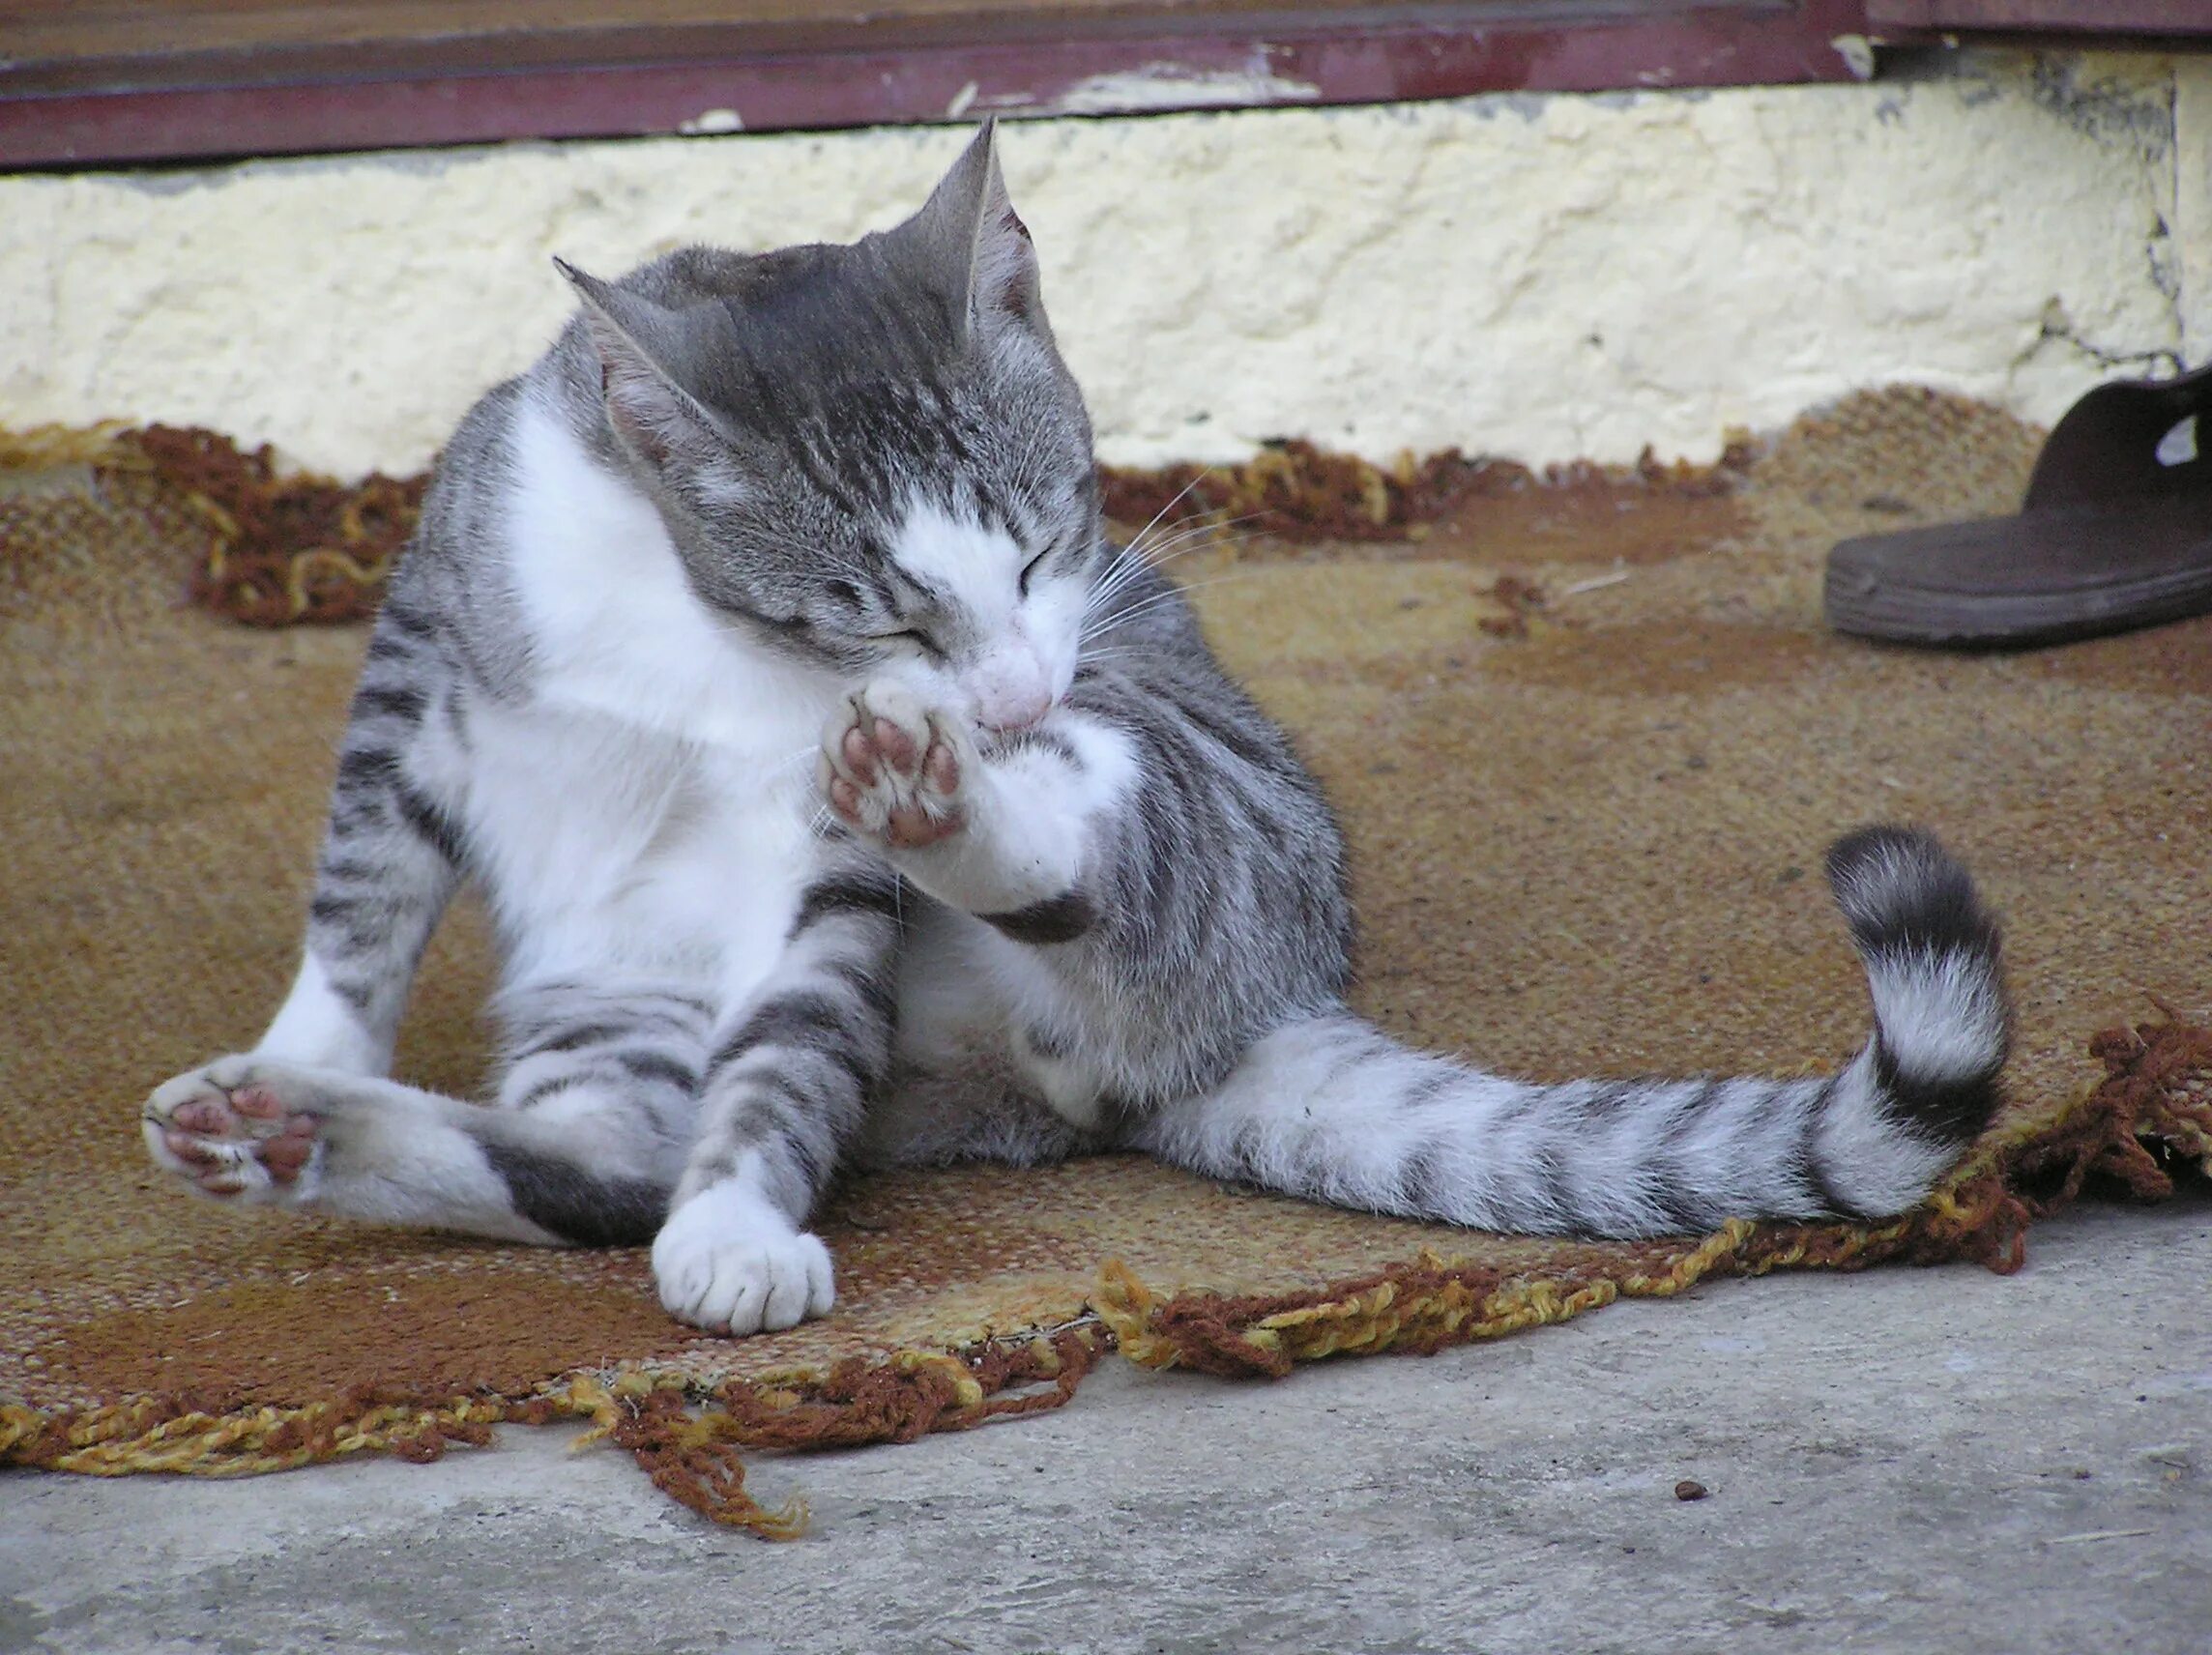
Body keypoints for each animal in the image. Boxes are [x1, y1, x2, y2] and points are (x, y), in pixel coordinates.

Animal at [138, 123, 2008, 1336]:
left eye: (1045, 549)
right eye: (884, 609)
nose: (1009, 694)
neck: (688, 621)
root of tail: (1255, 1011)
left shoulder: (823, 873)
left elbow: (787, 1050)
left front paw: (742, 1224)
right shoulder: (419, 658)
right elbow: (365, 892)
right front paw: (303, 1050)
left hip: (1186, 810)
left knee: (1070, 882)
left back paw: (943, 813)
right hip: (626, 993)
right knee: (599, 1163)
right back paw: (300, 1127)